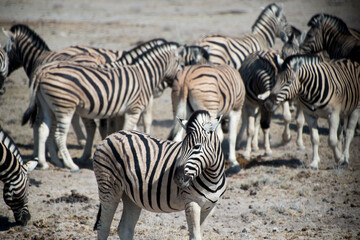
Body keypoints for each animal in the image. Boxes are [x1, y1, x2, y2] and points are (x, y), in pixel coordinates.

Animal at [22, 42, 184, 172]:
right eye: (180, 63)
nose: (178, 80)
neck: (144, 74)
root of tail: (42, 71)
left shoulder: (119, 113)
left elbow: (120, 131)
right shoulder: (134, 109)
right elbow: (126, 130)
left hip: (47, 107)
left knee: (43, 129)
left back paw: (46, 163)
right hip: (64, 106)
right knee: (59, 134)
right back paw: (71, 165)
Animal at [93, 110, 225, 240]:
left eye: (197, 147)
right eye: (182, 146)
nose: (177, 179)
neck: (212, 177)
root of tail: (111, 136)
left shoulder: (210, 207)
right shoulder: (191, 201)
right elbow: (195, 236)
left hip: (130, 195)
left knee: (125, 229)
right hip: (108, 188)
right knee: (103, 227)